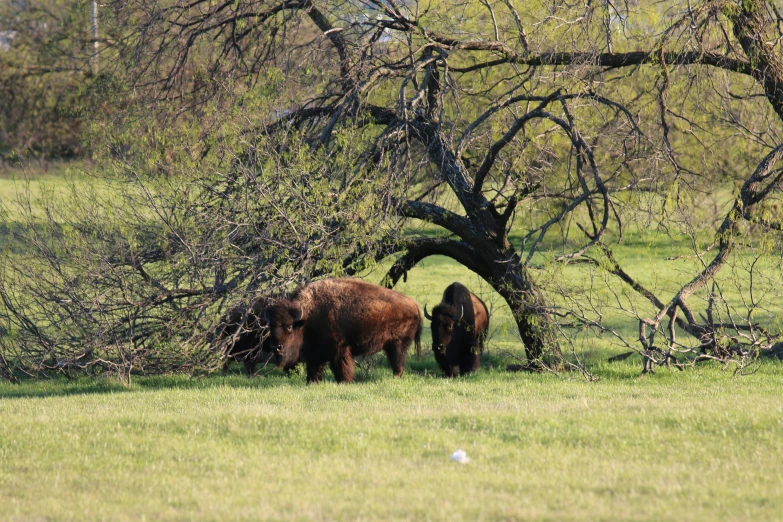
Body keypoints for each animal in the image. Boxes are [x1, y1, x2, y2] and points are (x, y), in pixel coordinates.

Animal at [262, 276, 422, 382]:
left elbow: (341, 368)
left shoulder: (339, 350)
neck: (305, 318)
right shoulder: (315, 353)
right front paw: (312, 382)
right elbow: (314, 369)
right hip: (391, 346)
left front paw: (344, 382)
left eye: (288, 326)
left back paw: (395, 378)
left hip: (398, 344)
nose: (276, 347)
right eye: (271, 326)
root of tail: (414, 305)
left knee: (398, 363)